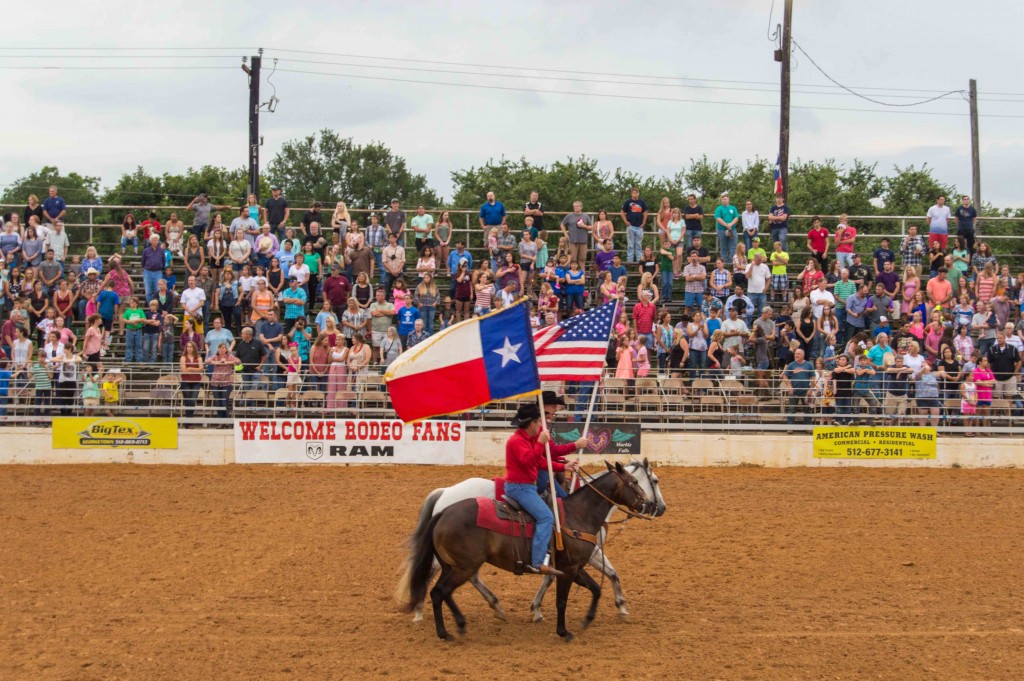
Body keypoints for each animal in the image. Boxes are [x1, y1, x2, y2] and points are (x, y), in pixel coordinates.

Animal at [397, 458, 647, 639]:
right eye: (635, 482)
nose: (648, 504)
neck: (578, 514)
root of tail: (443, 512)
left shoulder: (575, 567)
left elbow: (596, 588)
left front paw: (588, 618)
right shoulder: (570, 568)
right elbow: (562, 600)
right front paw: (562, 631)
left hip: (454, 566)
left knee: (441, 591)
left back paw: (458, 622)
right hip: (462, 567)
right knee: (440, 590)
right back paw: (445, 629)